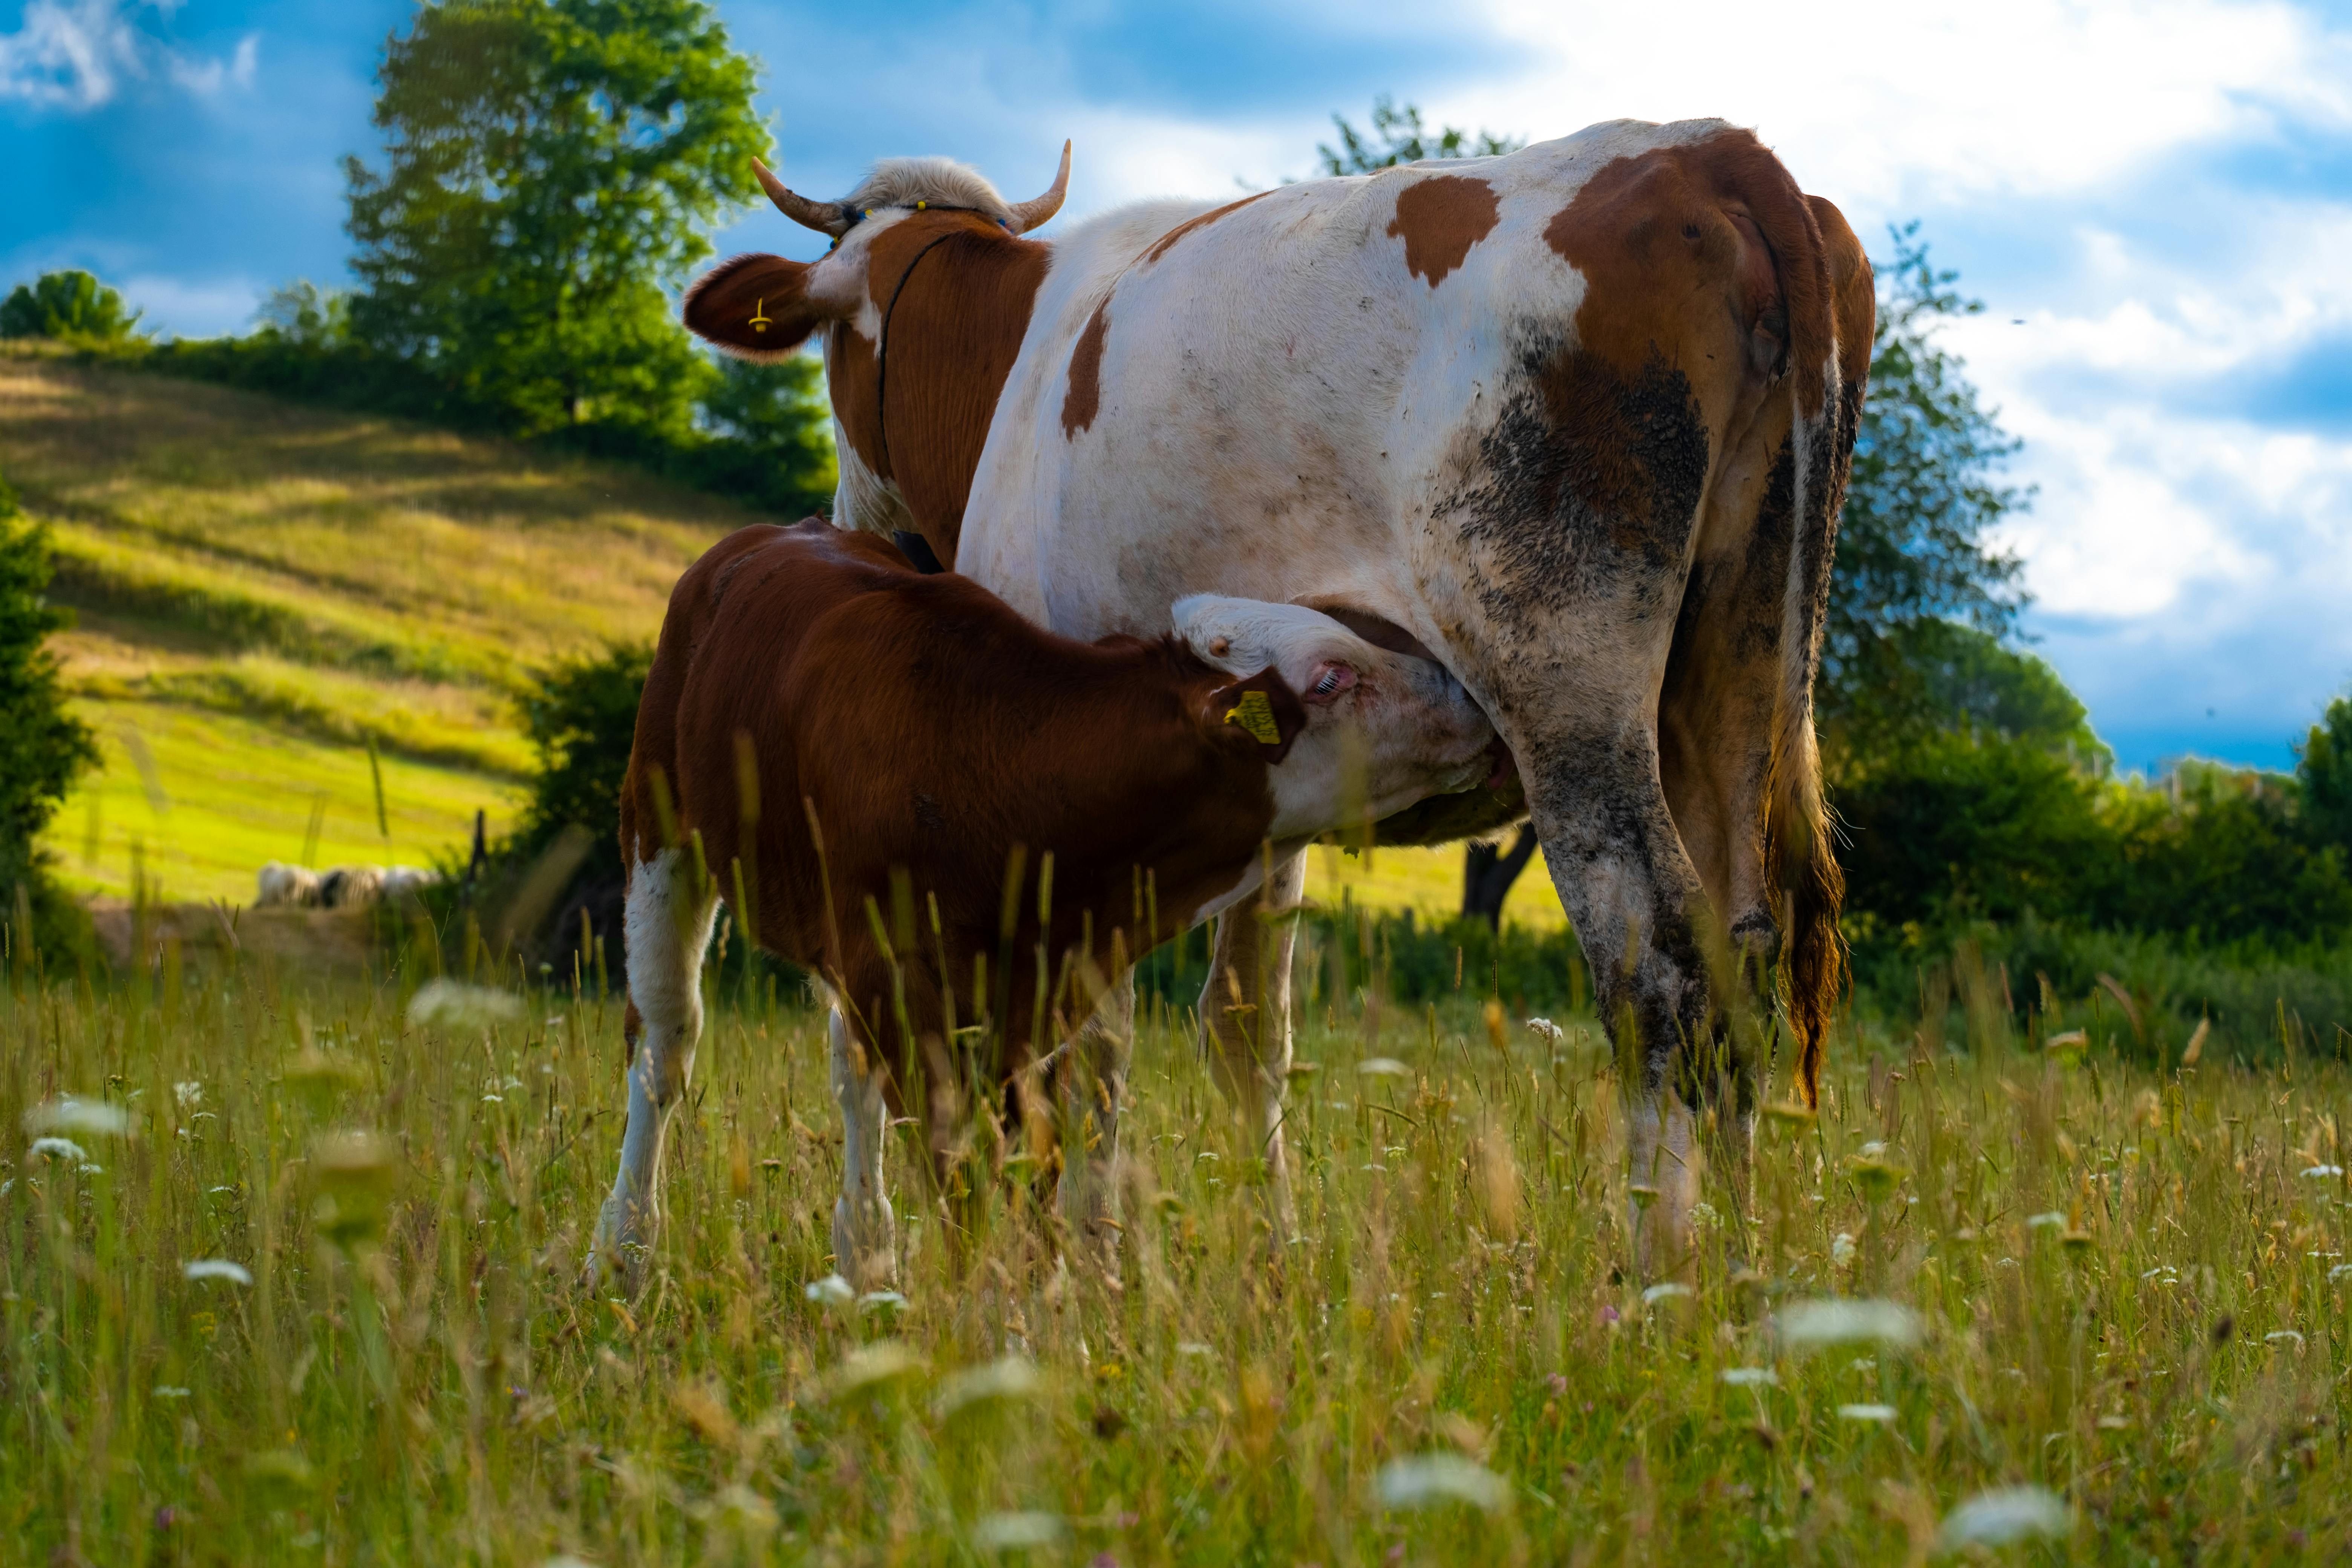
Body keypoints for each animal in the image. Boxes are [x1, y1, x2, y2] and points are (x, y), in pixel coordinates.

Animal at [583, 522, 1486, 1297]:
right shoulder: (905, 994)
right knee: (665, 1045)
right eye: (1333, 676)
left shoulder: (1026, 1006)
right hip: (656, 825)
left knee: (845, 1075)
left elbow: (1032, 1175)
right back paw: (624, 1252)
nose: (1467, 700)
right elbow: (966, 1182)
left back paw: (865, 1257)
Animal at [687, 122, 1872, 1279]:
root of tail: (1708, 150)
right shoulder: (1273, 773)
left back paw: (1659, 1282)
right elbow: (1245, 1031)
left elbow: (1091, 1042)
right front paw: (1268, 1252)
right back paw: (1736, 1274)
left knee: (1659, 970)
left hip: (1564, 675)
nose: (849, 521)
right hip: (1736, 667)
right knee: (1743, 954)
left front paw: (1083, 1260)